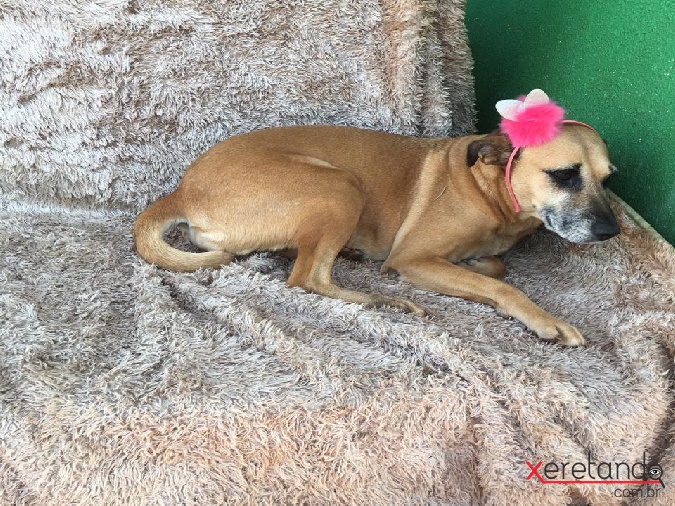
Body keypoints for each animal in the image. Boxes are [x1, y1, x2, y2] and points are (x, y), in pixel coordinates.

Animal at [133, 124, 619, 345]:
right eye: (564, 174)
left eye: (607, 179)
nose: (611, 231)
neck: (491, 191)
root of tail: (183, 189)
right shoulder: (412, 259)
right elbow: (503, 286)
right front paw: (546, 320)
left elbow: (494, 267)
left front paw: (480, 262)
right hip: (340, 186)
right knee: (307, 279)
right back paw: (385, 301)